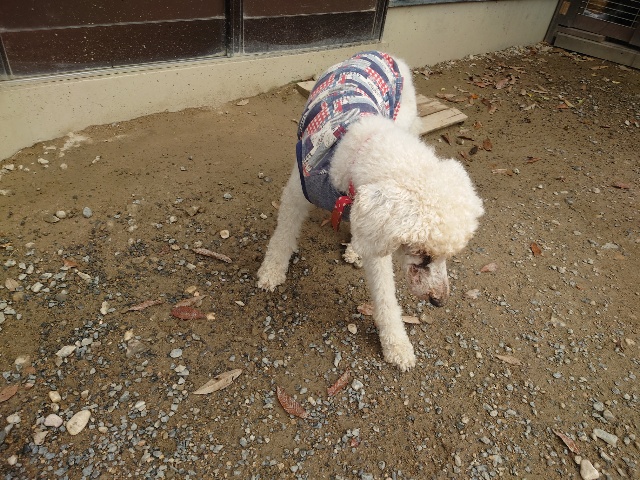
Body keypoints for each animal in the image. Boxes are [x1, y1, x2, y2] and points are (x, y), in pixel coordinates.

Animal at [257, 51, 484, 370]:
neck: (357, 150)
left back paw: (354, 249)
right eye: (423, 254)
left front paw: (397, 344)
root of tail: (381, 53)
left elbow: (385, 294)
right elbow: (283, 235)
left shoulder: (378, 233)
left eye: (447, 257)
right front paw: (272, 270)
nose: (439, 301)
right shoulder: (298, 192)